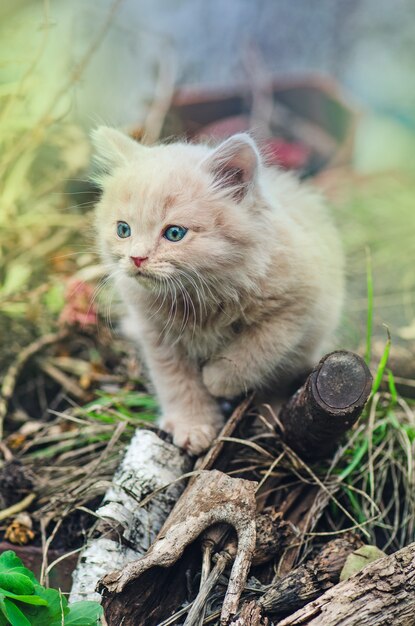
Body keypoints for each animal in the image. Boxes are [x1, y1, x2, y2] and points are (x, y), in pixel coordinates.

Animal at [93, 128, 344, 454]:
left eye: (174, 233)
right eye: (123, 230)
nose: (137, 258)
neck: (197, 297)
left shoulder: (300, 303)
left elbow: (256, 348)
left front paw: (218, 380)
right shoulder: (157, 335)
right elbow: (176, 382)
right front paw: (193, 425)